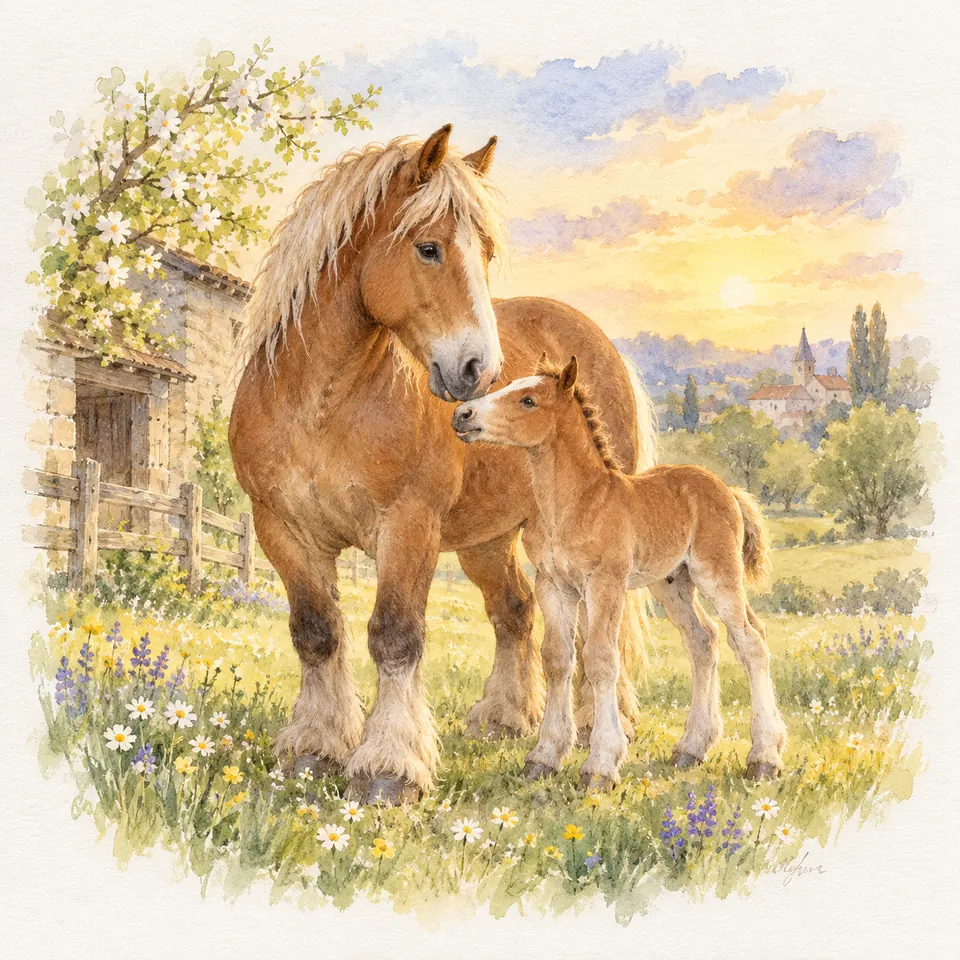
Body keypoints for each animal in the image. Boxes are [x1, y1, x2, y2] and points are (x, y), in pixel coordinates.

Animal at [229, 127, 659, 804]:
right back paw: (504, 718)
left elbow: (396, 635)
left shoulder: (408, 526)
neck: (320, 405)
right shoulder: (283, 529)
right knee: (515, 611)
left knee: (598, 634)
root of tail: (600, 346)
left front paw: (388, 767)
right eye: (428, 248)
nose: (480, 372)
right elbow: (316, 631)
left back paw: (598, 729)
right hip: (490, 538)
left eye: (485, 254)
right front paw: (315, 749)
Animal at [452, 356, 788, 788]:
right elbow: (557, 658)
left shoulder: (605, 584)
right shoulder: (553, 585)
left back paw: (764, 757)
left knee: (750, 640)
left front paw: (600, 764)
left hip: (717, 574)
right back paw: (691, 748)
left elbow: (600, 659)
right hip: (672, 583)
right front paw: (544, 757)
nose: (462, 415)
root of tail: (727, 489)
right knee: (703, 640)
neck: (576, 503)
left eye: (528, 400)